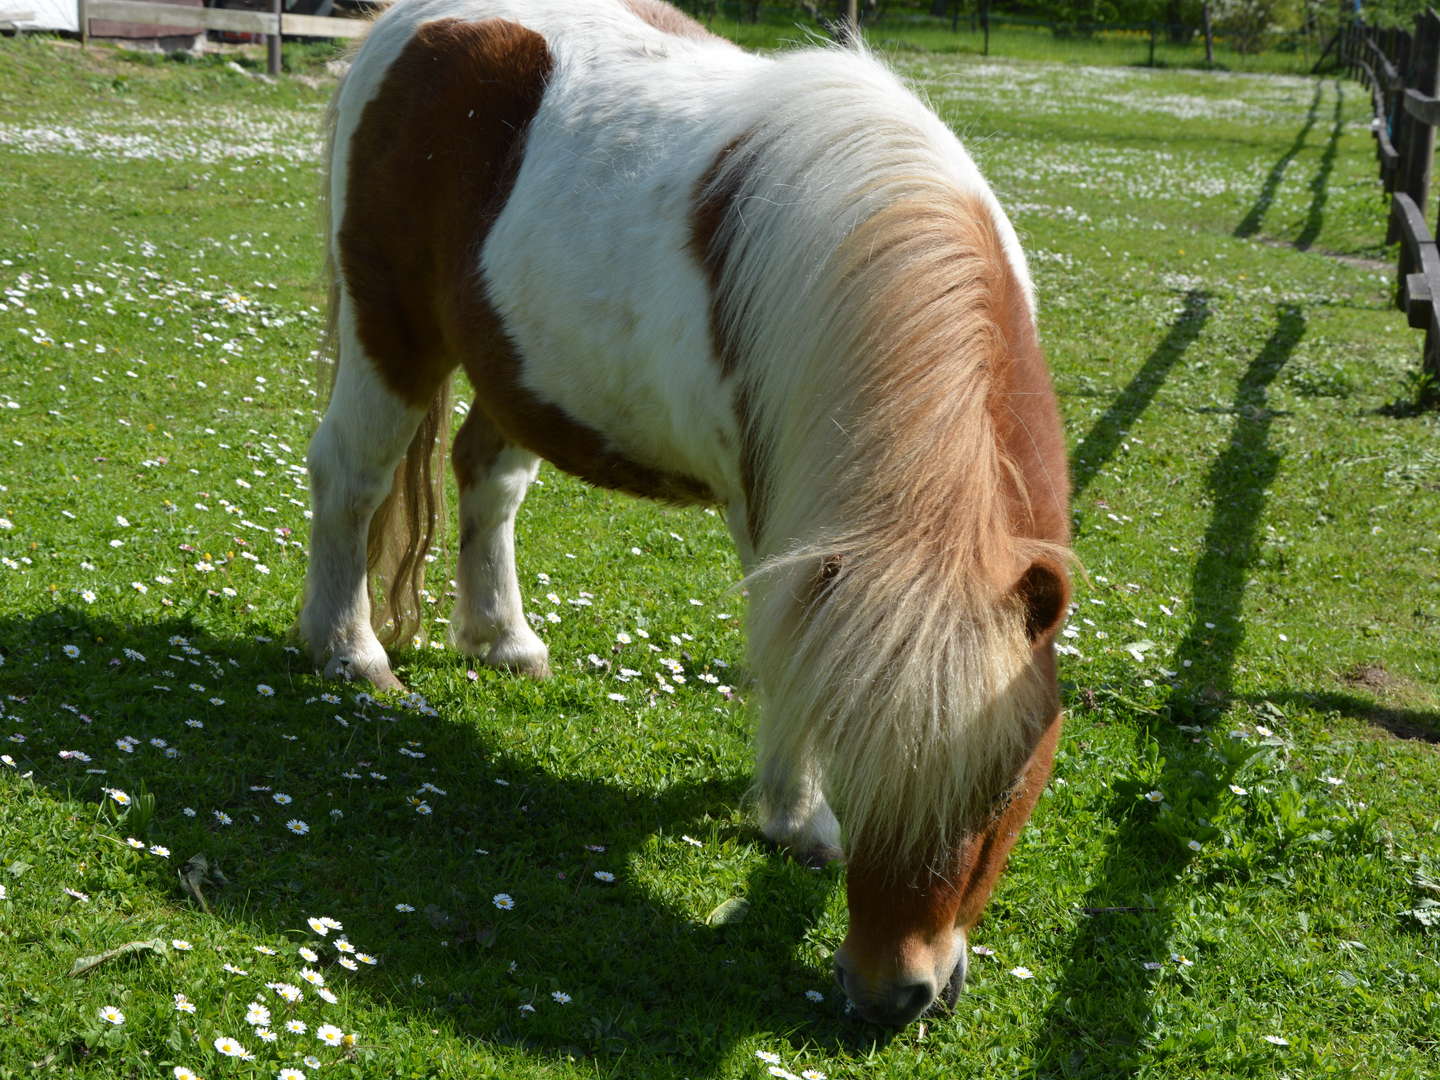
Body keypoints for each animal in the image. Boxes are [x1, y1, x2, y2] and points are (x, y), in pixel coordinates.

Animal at [300, 0, 1071, 1031]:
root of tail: (404, 25)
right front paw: (797, 817)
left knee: (486, 483)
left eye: (1003, 783)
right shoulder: (774, 518)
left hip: (518, 368)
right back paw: (349, 653)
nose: (891, 996)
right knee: (349, 477)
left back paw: (503, 638)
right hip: (390, 334)